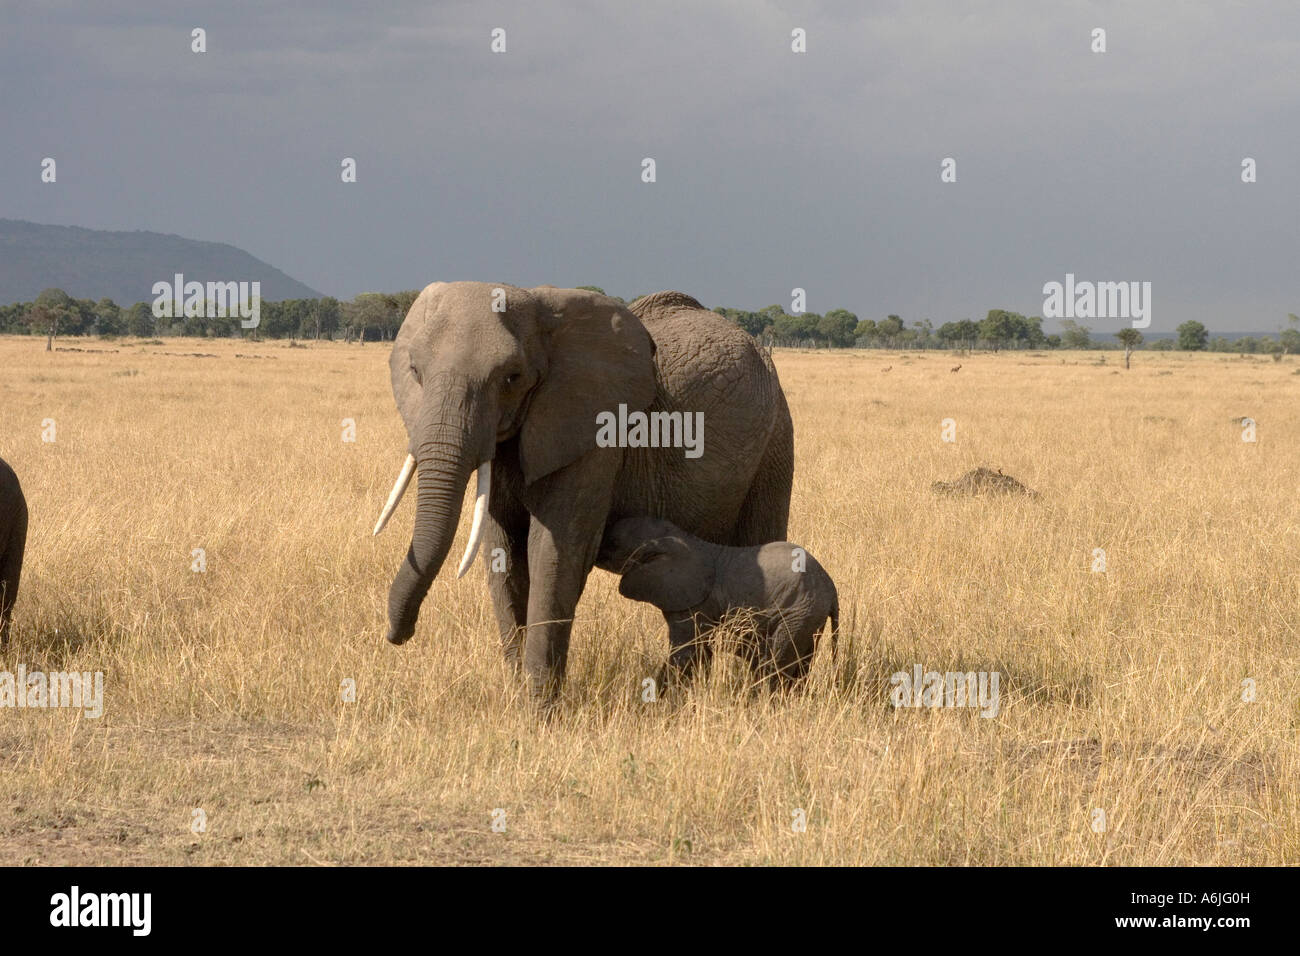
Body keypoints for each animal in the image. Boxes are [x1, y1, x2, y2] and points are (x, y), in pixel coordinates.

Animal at [372, 282, 793, 702]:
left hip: (775, 440)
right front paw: (517, 694)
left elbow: (555, 550)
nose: (397, 635)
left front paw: (539, 708)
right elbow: (504, 550)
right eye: (415, 372)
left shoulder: (595, 431)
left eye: (512, 377)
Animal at [600, 515, 837, 692]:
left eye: (613, 543)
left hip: (797, 612)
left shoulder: (695, 603)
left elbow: (686, 652)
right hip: (811, 616)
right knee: (802, 663)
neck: (681, 537)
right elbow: (701, 653)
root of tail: (830, 586)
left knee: (775, 661)